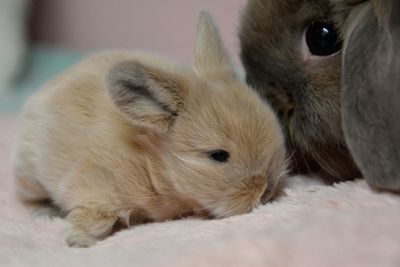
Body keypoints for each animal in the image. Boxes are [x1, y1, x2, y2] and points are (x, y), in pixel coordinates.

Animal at [13, 11, 288, 248]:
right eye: (218, 155)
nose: (266, 189)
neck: (149, 162)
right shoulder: (92, 188)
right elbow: (94, 218)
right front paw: (77, 241)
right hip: (30, 175)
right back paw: (43, 213)